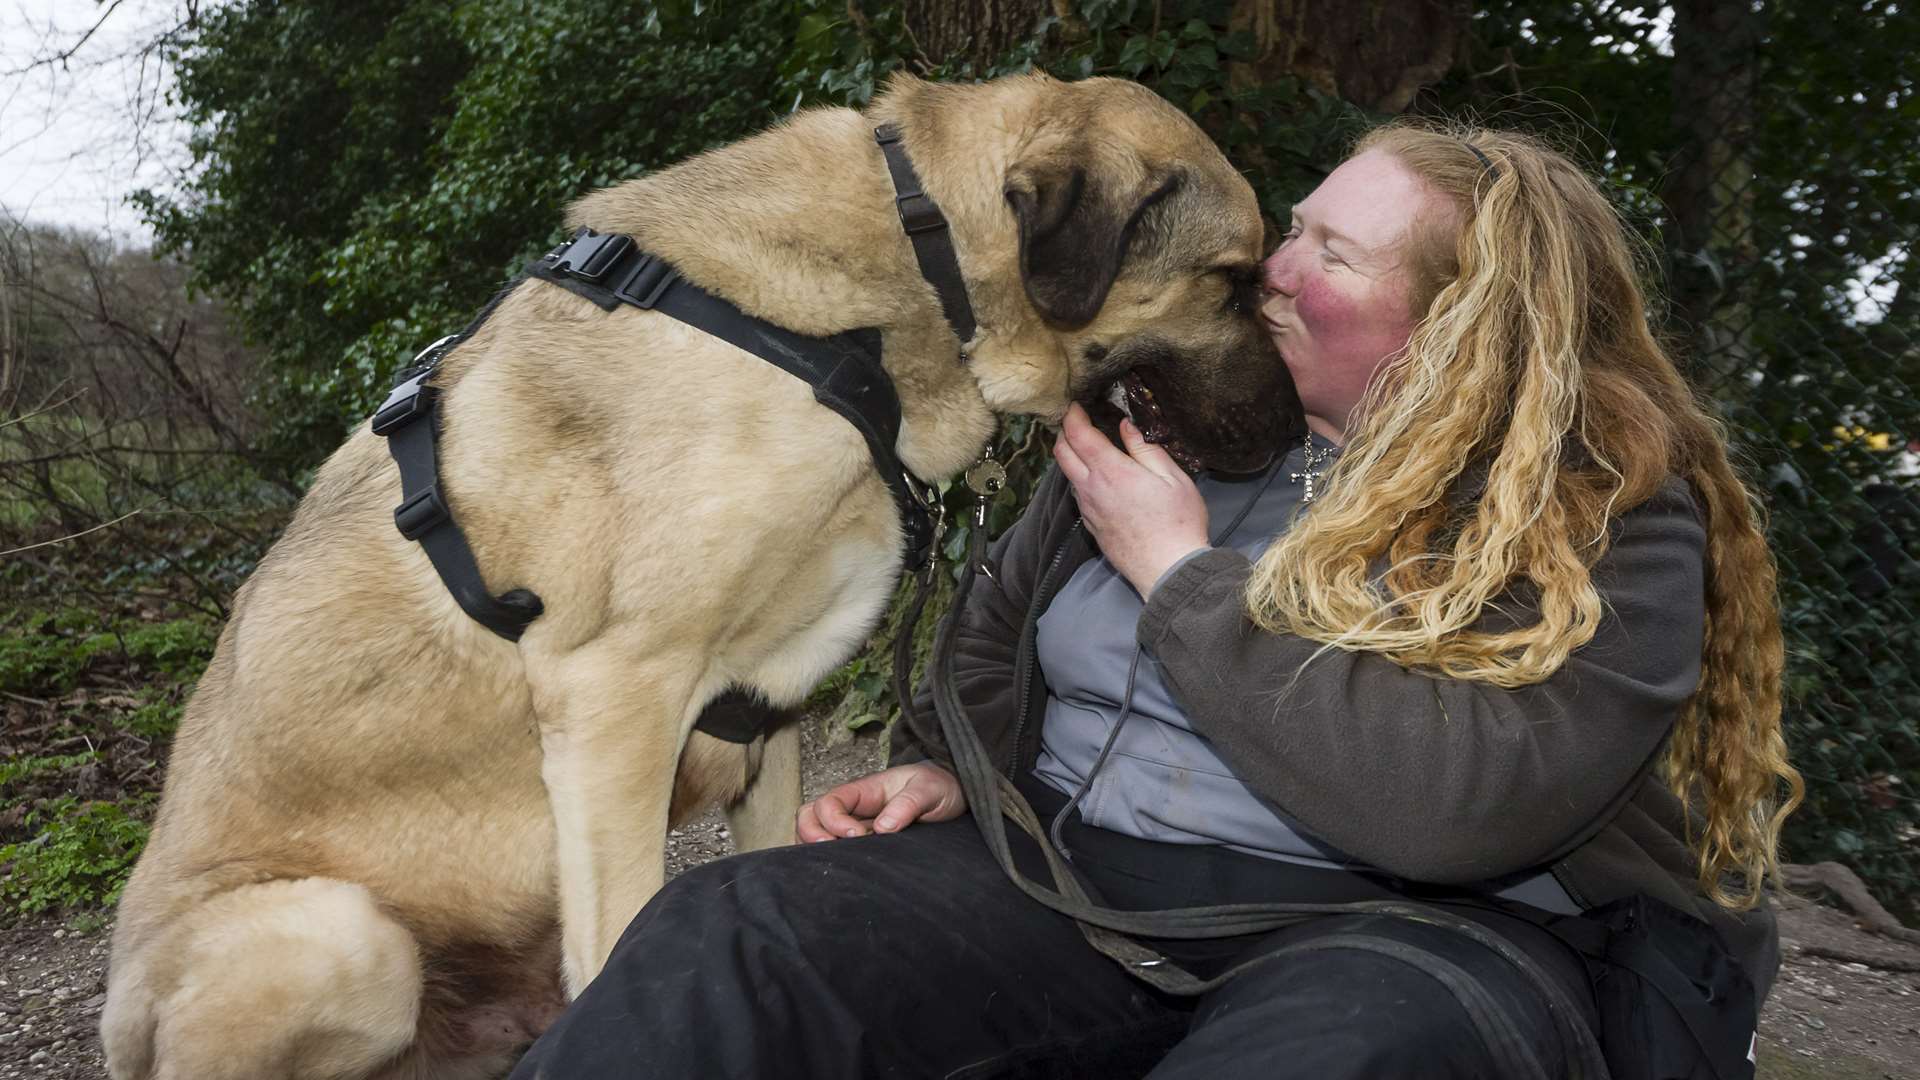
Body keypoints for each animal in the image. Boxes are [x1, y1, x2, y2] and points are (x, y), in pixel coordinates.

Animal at [93, 71, 1290, 1068]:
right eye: (1234, 284)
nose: (1290, 432)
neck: (888, 300)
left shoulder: (768, 717)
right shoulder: (612, 699)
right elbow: (626, 931)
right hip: (342, 936)